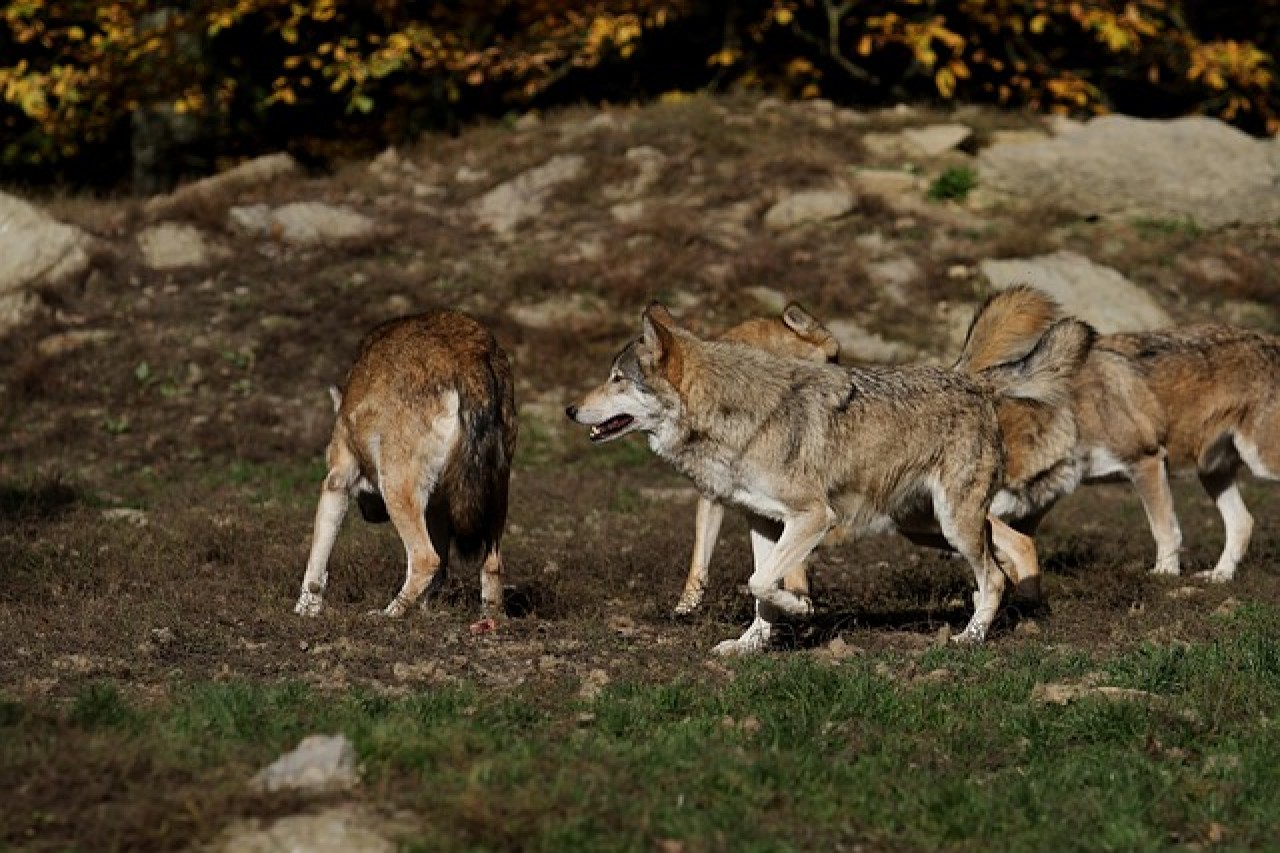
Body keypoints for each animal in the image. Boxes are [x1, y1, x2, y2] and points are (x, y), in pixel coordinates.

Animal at [294, 310, 517, 619]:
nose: (372, 517)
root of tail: (470, 359)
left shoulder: (337, 480)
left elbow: (316, 562)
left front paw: (305, 608)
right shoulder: (436, 506)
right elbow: (441, 573)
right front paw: (427, 612)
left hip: (396, 490)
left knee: (425, 559)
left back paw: (388, 614)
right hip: (495, 498)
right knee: (492, 565)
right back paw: (489, 619)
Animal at [959, 285, 1280, 582]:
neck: (1074, 416)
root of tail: (1272, 341)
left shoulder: (1146, 462)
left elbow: (1165, 530)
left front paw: (1164, 575)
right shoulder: (1050, 495)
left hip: (1259, 462)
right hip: (1212, 473)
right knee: (1243, 523)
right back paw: (1219, 575)